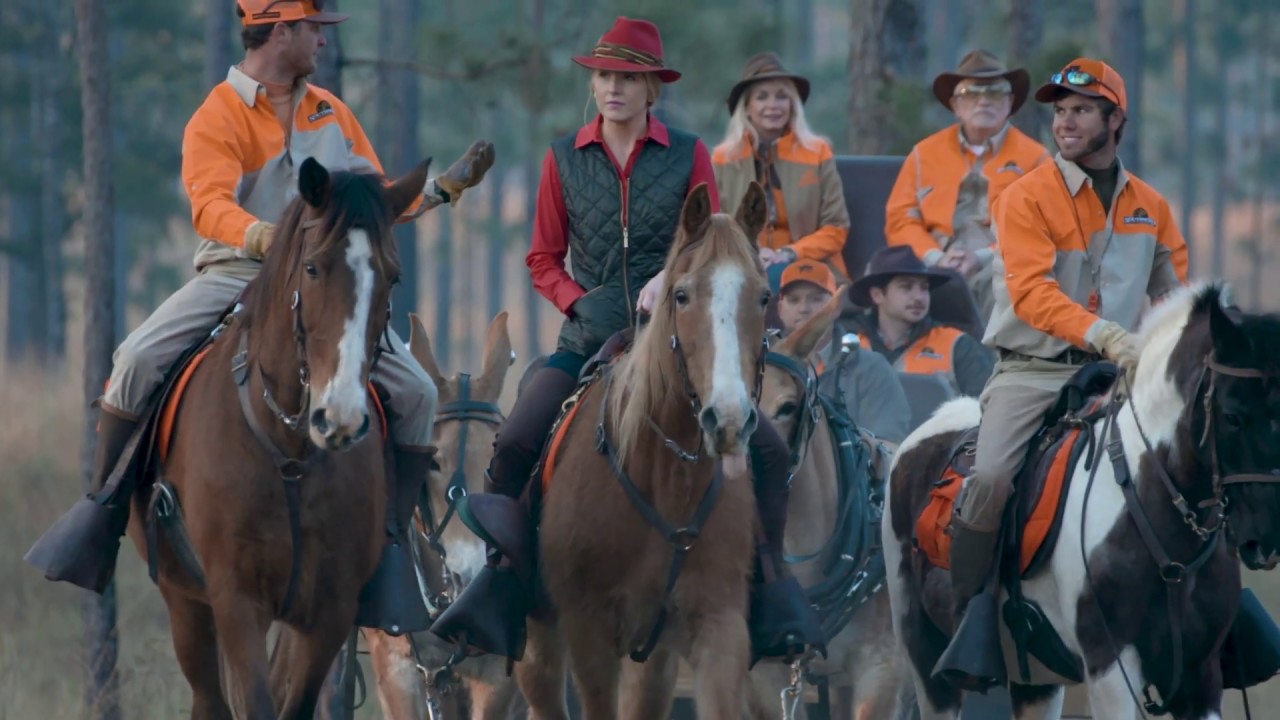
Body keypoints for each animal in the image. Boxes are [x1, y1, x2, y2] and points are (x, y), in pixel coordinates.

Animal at [126, 156, 429, 719]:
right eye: (312, 267)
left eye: (392, 276)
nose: (340, 418)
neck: (289, 452)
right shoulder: (236, 600)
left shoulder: (329, 611)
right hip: (186, 604)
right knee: (209, 698)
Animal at [513, 181, 772, 719]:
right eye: (682, 294)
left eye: (763, 296)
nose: (728, 420)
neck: (667, 479)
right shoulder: (588, 629)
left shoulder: (717, 622)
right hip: (538, 646)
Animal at [883, 282, 1280, 720]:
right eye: (1233, 416)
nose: (1266, 539)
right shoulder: (1110, 666)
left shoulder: (1200, 674)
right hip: (924, 656)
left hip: (1034, 680)